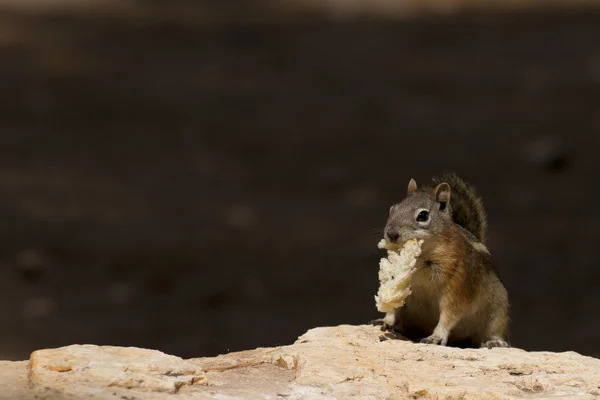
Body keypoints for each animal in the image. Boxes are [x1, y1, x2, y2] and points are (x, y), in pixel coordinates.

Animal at [372, 173, 508, 348]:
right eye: (392, 209)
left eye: (423, 215)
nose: (391, 234)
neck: (422, 256)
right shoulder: (403, 285)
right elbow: (395, 306)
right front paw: (386, 320)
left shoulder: (458, 283)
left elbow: (449, 313)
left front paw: (436, 336)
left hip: (498, 312)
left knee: (493, 331)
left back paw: (495, 341)